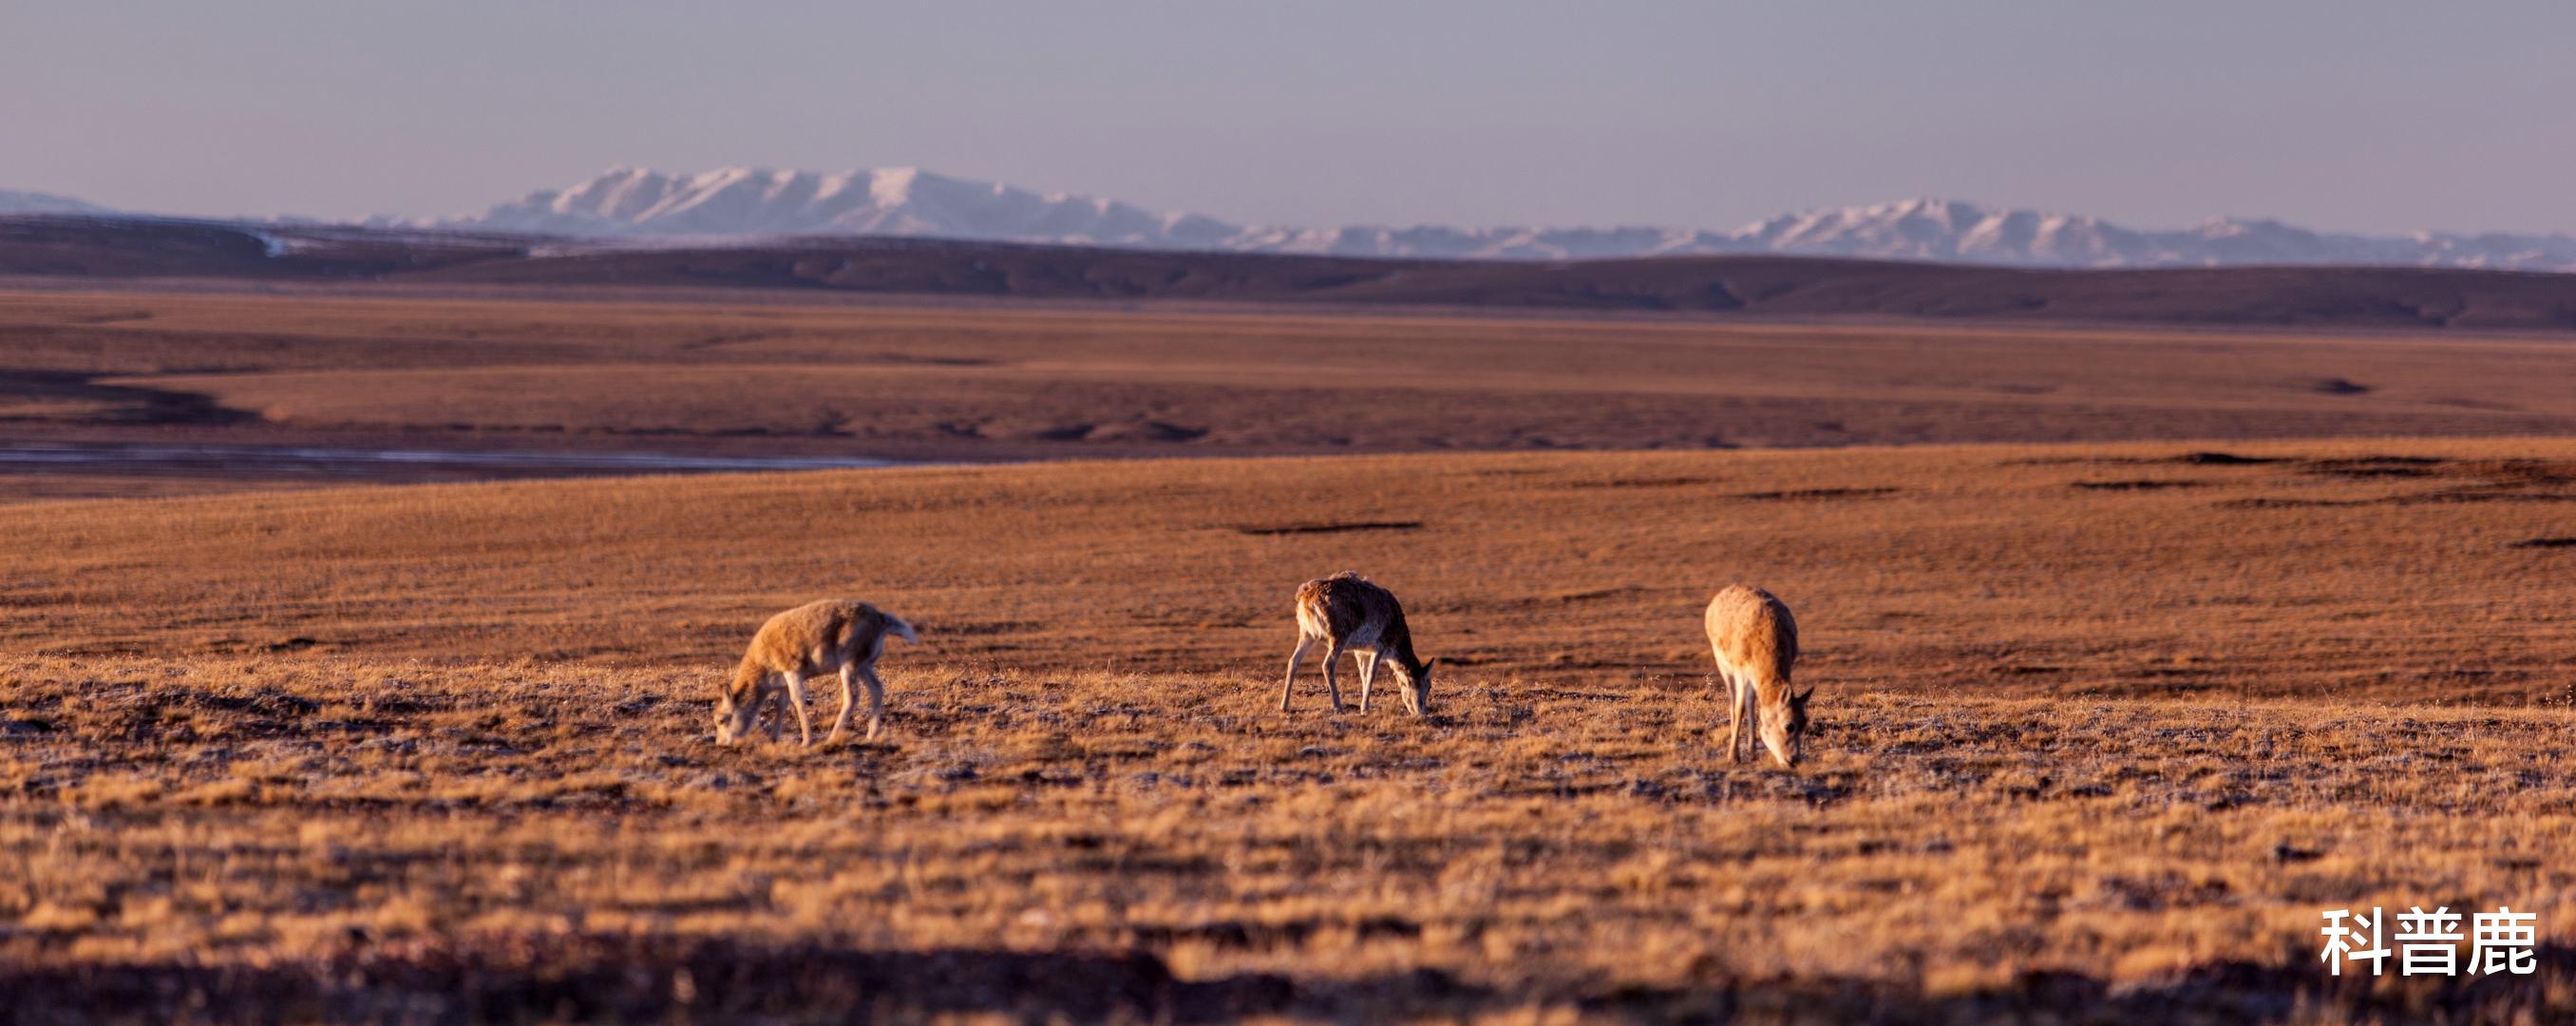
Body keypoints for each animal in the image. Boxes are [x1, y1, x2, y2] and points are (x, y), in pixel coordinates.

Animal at [721, 600, 921, 747]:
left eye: (723, 719)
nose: (722, 743)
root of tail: (880, 618)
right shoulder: (784, 682)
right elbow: (782, 704)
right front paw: (773, 738)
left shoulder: (793, 673)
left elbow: (798, 700)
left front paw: (807, 741)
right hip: (864, 666)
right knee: (877, 689)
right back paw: (871, 735)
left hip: (848, 666)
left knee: (852, 696)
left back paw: (832, 737)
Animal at [1282, 572, 1442, 716]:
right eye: (1427, 686)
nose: (1422, 712)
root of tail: (1307, 597)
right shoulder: (1379, 647)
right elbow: (1371, 674)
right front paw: (1365, 708)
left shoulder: (1361, 652)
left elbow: (1363, 675)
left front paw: (1364, 706)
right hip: (1338, 638)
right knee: (1327, 665)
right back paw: (1338, 708)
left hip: (1307, 636)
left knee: (1293, 661)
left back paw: (1284, 706)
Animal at [1710, 584, 1813, 768]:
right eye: (1789, 725)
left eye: (1804, 724)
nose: (1793, 760)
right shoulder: (1741, 672)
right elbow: (1739, 708)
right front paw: (1733, 756)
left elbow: (1752, 704)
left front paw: (1752, 753)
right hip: (1723, 666)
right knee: (1732, 699)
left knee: (1750, 701)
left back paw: (1752, 751)